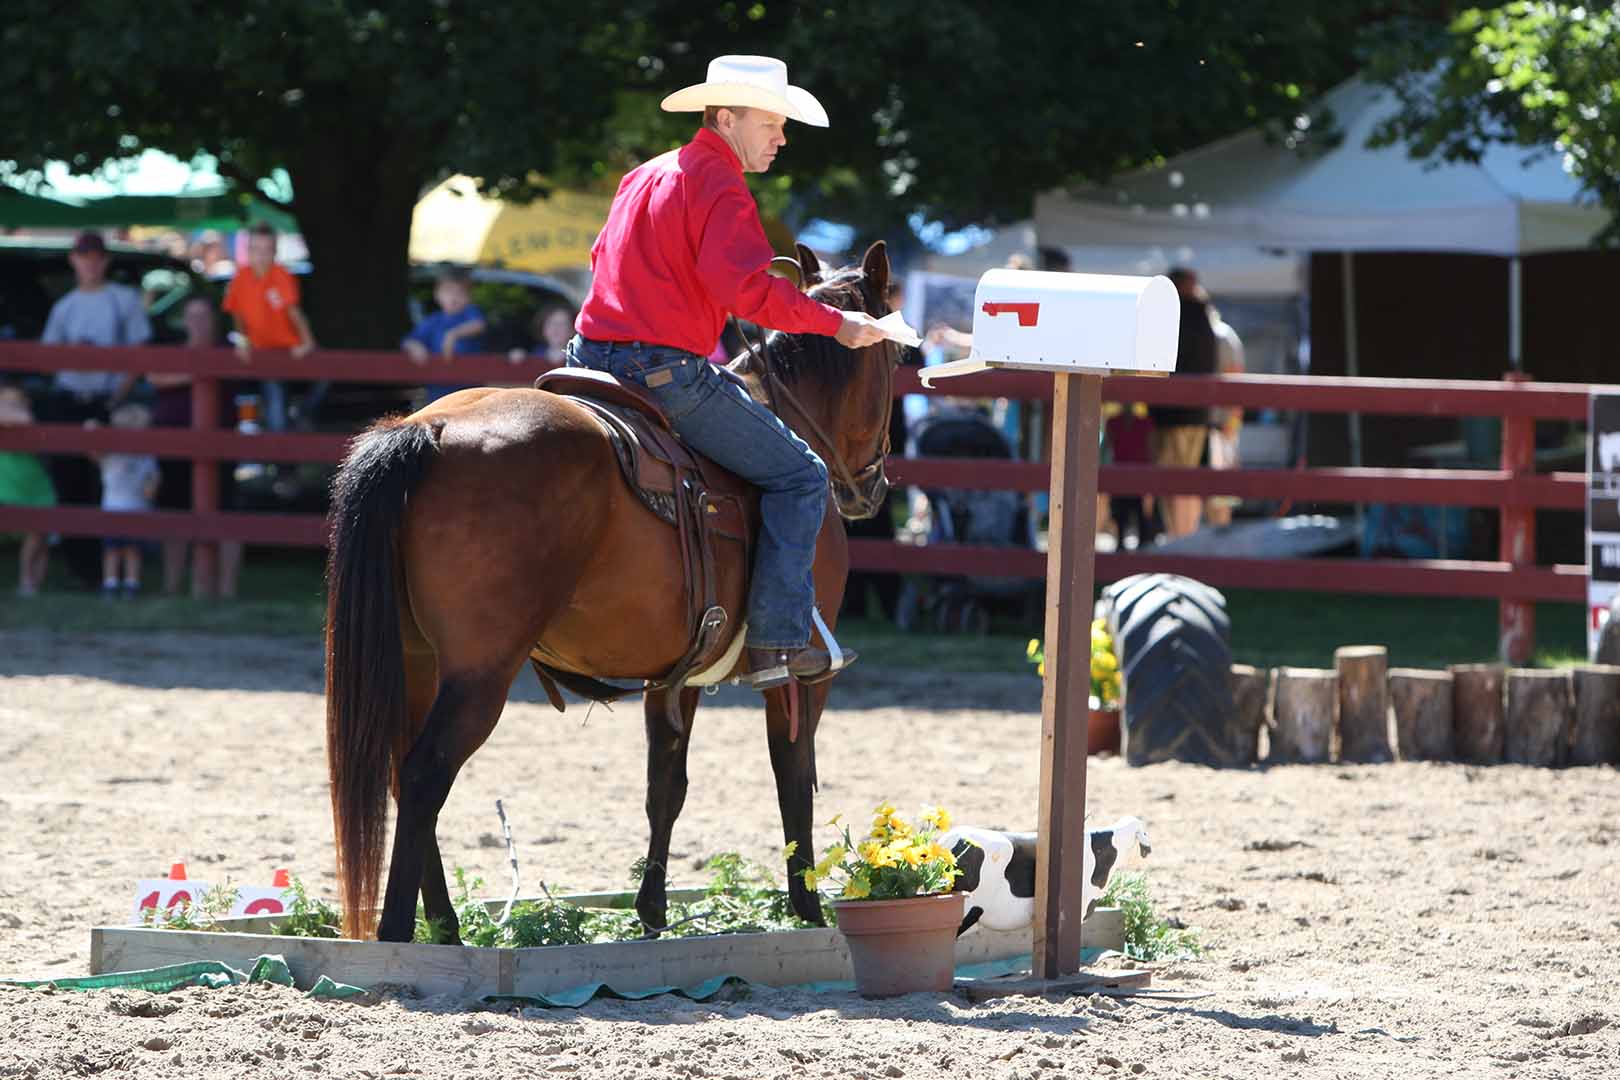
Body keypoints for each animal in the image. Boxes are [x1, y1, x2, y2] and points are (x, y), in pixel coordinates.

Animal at [324, 241, 898, 943]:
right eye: (895, 357)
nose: (871, 487)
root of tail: (428, 432)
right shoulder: (800, 675)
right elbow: (794, 777)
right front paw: (811, 911)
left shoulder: (675, 677)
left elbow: (666, 786)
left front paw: (651, 912)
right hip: (478, 674)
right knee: (425, 772)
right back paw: (402, 933)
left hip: (417, 661)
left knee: (404, 778)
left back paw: (447, 926)